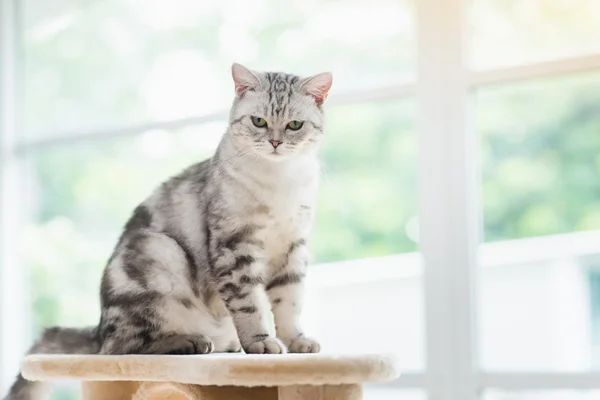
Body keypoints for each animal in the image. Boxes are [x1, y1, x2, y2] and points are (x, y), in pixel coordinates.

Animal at [5, 63, 332, 400]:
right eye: (259, 121)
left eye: (294, 125)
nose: (276, 142)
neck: (281, 181)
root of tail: (98, 328)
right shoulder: (235, 246)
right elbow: (249, 304)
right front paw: (260, 343)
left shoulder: (293, 248)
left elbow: (289, 303)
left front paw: (295, 341)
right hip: (159, 253)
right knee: (122, 347)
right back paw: (189, 342)